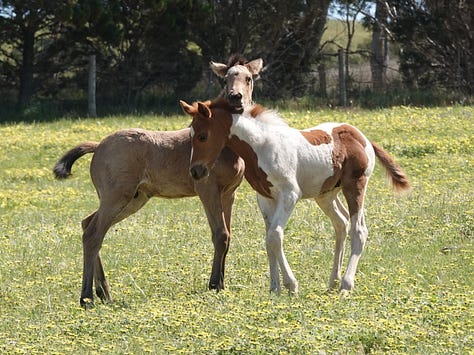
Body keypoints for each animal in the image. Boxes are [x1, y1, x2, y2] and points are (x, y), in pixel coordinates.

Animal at [181, 98, 412, 296]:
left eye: (203, 136)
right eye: (191, 135)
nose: (195, 171)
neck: (260, 147)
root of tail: (362, 137)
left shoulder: (289, 194)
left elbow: (275, 235)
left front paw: (291, 285)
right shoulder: (265, 198)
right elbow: (268, 240)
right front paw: (274, 287)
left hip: (355, 186)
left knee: (359, 230)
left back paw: (346, 285)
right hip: (326, 194)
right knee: (341, 223)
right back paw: (333, 281)